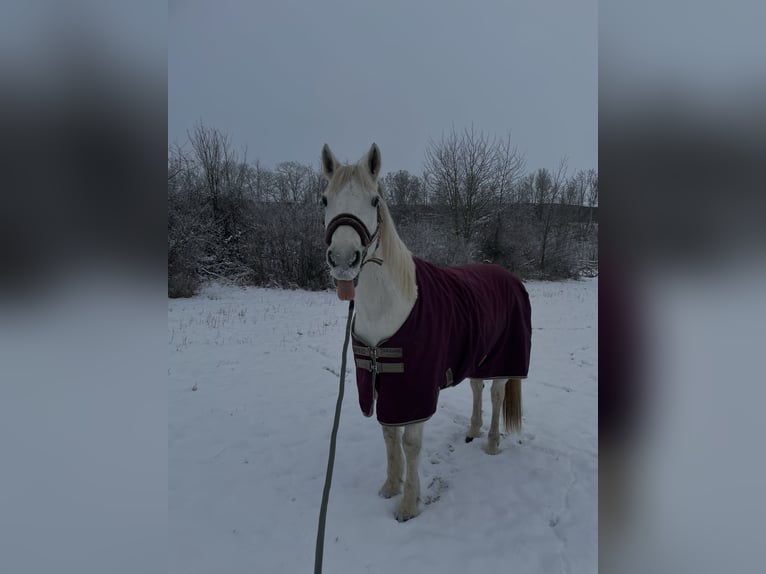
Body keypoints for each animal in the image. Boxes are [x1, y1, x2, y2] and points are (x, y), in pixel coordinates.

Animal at [320, 143, 532, 520]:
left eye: (374, 200)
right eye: (324, 199)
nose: (344, 260)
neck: (391, 305)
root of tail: (507, 274)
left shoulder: (415, 388)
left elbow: (410, 443)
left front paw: (408, 505)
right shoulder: (382, 383)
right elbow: (389, 436)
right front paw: (390, 487)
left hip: (503, 358)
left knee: (495, 395)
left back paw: (492, 443)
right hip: (478, 356)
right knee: (477, 388)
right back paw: (472, 430)